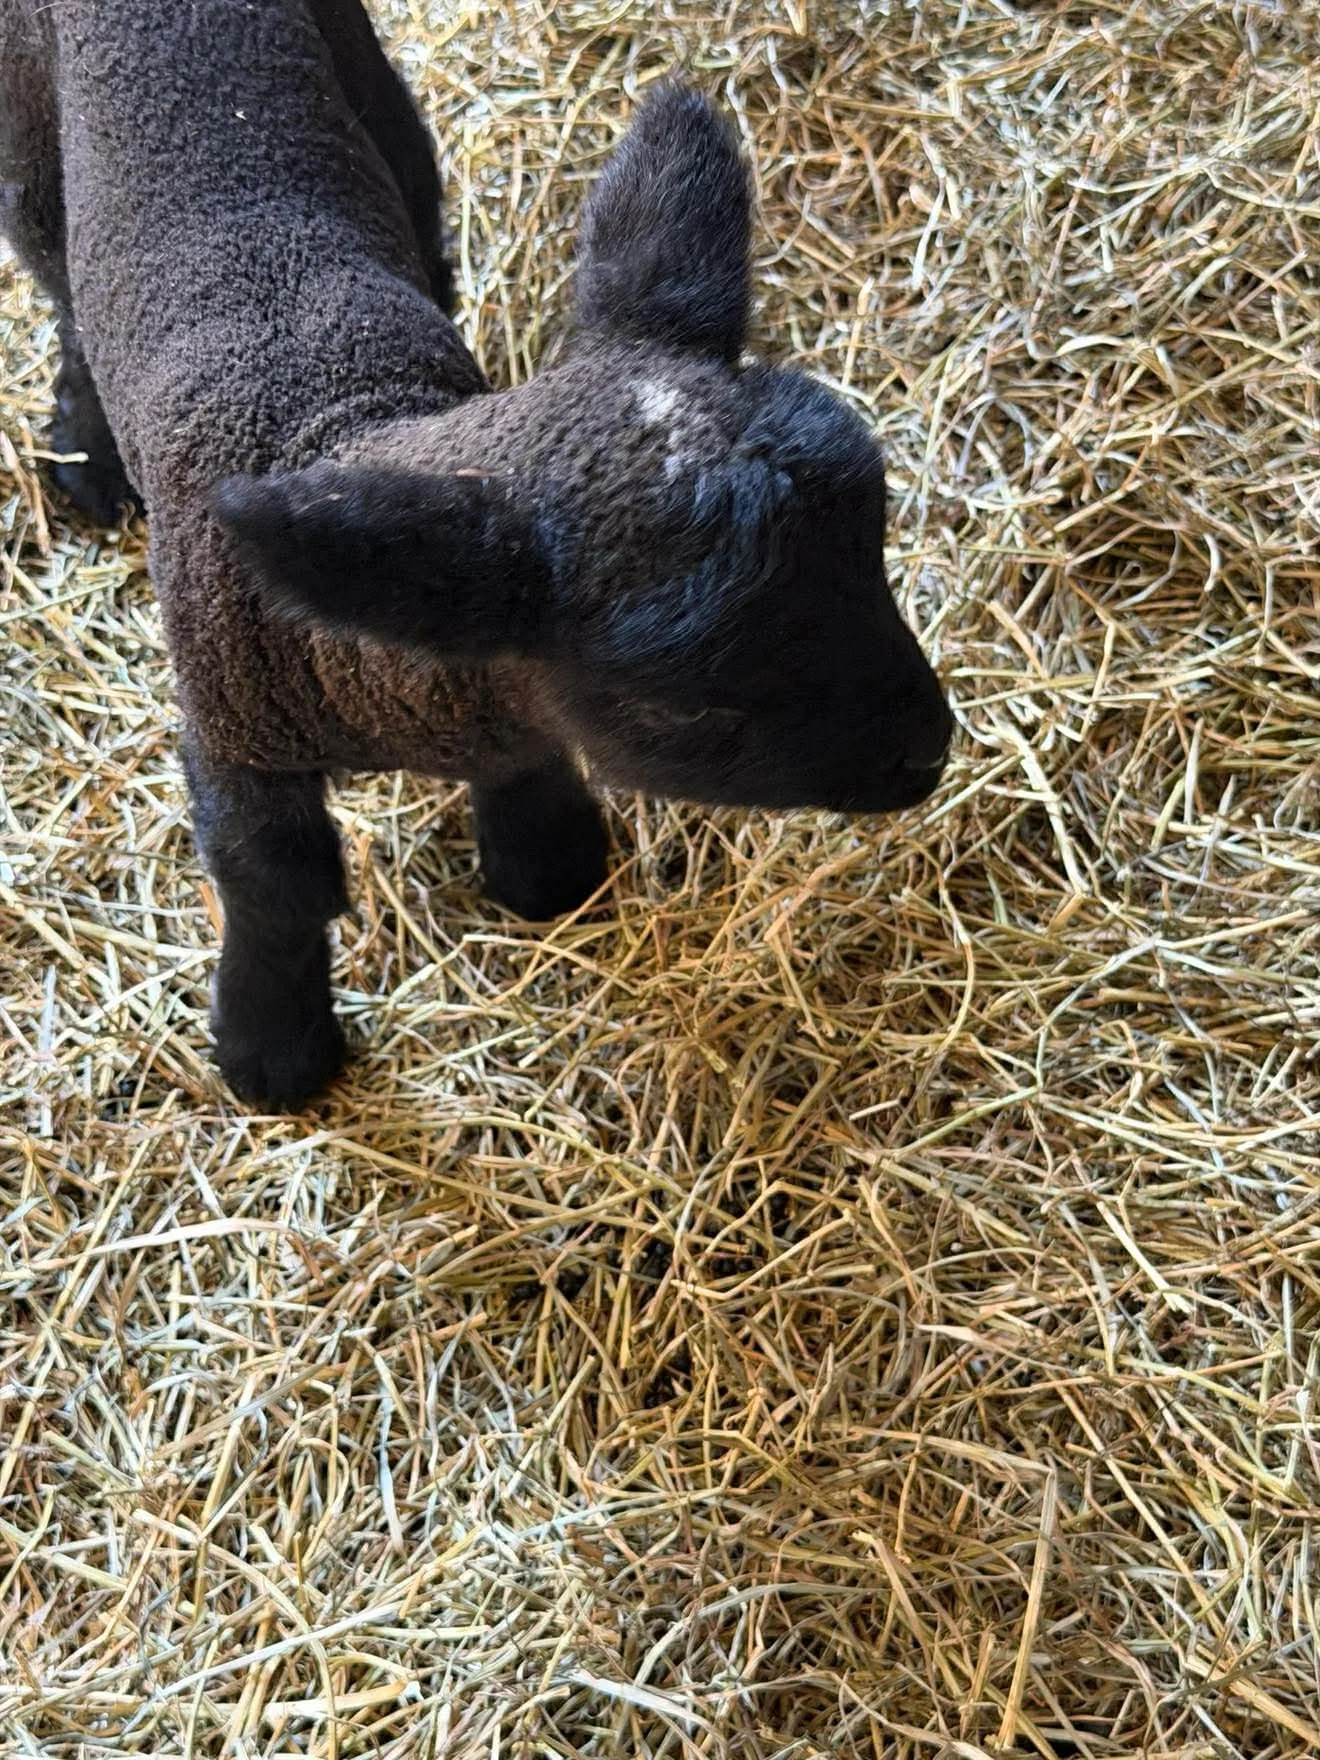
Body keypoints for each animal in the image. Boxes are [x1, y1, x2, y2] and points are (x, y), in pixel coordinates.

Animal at [0, 0, 954, 1111]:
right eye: (687, 708)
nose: (929, 749)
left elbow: (523, 754)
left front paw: (547, 863)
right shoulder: (228, 724)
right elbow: (272, 881)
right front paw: (271, 1047)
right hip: (29, 132)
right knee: (60, 280)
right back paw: (86, 450)